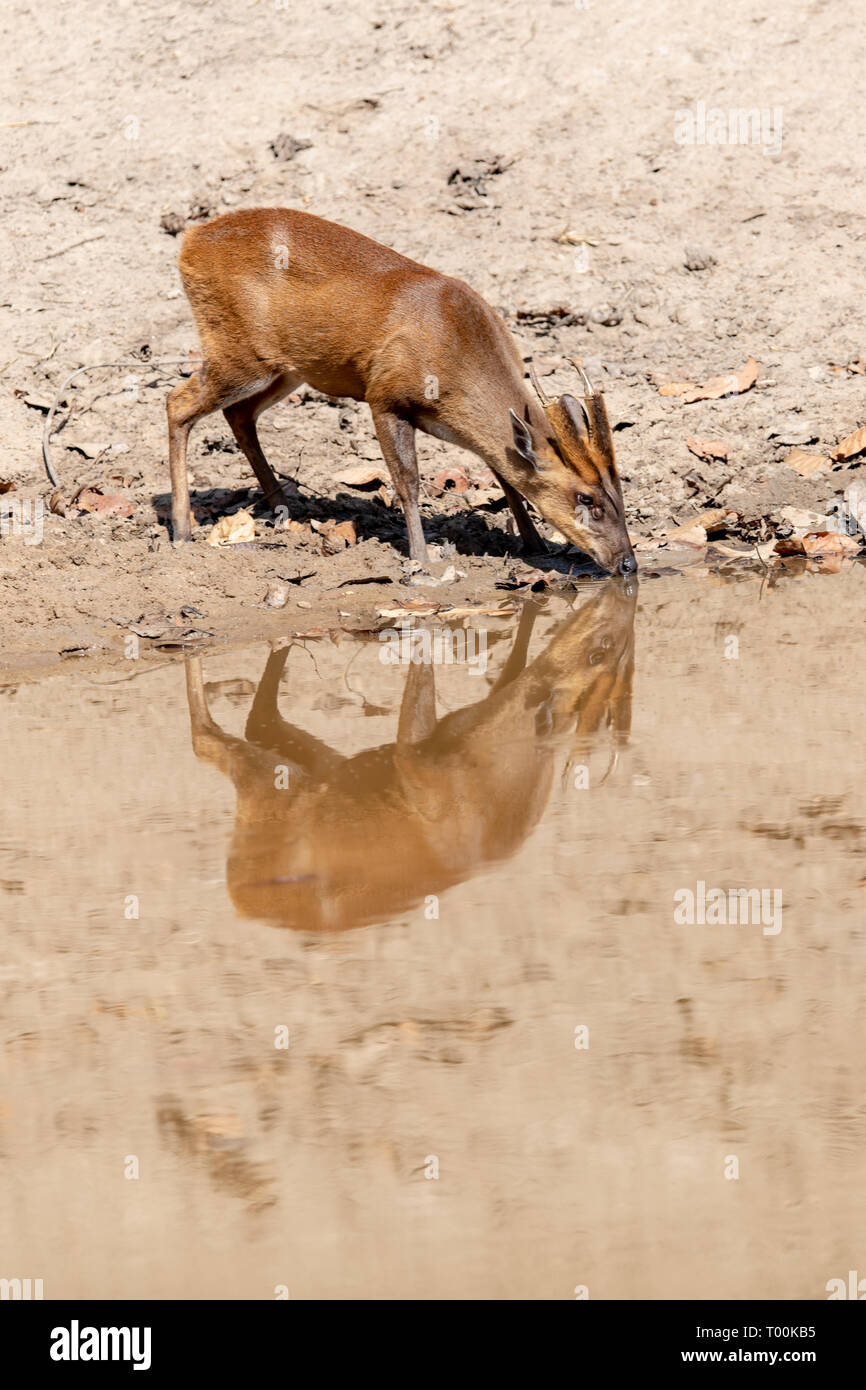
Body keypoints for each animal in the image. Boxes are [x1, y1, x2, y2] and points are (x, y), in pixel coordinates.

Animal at [166, 207, 636, 575]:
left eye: (620, 491)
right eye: (586, 497)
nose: (628, 562)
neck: (457, 350)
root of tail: (189, 242)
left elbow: (506, 476)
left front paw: (534, 543)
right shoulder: (385, 394)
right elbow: (408, 481)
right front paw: (422, 556)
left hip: (286, 368)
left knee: (238, 414)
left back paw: (284, 508)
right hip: (237, 347)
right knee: (177, 402)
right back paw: (183, 529)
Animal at [184, 575, 636, 934]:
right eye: (599, 653)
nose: (617, 626)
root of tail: (242, 901)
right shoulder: (417, 759)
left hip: (309, 769)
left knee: (257, 720)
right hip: (270, 787)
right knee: (209, 739)